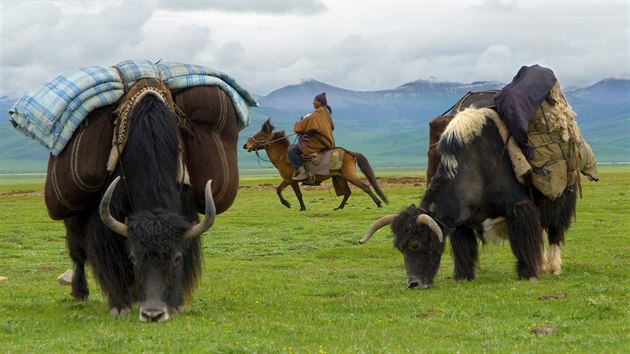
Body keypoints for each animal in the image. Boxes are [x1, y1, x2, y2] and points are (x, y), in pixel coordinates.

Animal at [243, 117, 388, 212]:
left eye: (260, 136)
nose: (245, 145)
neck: (283, 156)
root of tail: (349, 152)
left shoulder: (292, 180)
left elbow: (298, 194)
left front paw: (302, 208)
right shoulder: (288, 179)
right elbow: (278, 190)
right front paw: (287, 204)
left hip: (349, 176)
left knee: (365, 187)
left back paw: (379, 204)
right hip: (340, 177)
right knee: (347, 192)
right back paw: (339, 207)